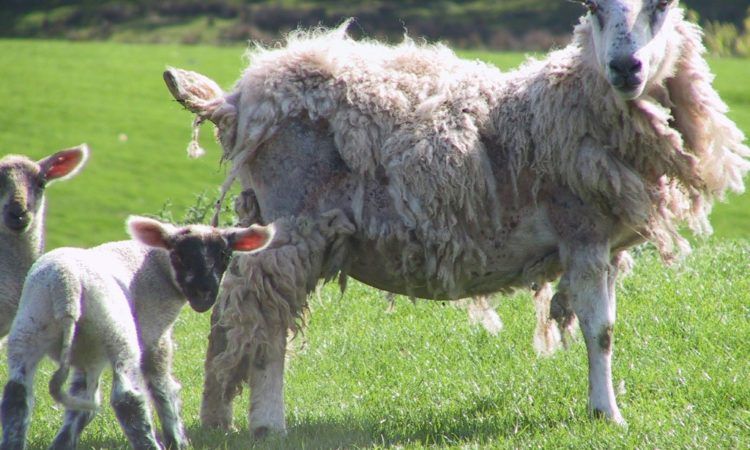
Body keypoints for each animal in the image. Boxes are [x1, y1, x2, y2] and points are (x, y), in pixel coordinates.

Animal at [0, 216, 274, 450]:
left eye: (224, 255)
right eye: (179, 255)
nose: (204, 293)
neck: (155, 264)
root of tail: (66, 288)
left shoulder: (88, 353)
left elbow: (82, 399)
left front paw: (65, 442)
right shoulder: (153, 332)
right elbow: (162, 387)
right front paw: (177, 439)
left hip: (29, 327)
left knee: (17, 395)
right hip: (118, 332)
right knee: (127, 399)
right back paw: (149, 443)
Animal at [163, 0, 750, 435]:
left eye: (661, 6)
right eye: (593, 8)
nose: (626, 68)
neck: (572, 102)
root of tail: (239, 98)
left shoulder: (600, 245)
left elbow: (602, 328)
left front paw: (602, 407)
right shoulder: (581, 233)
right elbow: (599, 330)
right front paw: (607, 415)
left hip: (264, 218)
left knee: (234, 320)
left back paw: (220, 421)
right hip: (292, 225)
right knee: (261, 320)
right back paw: (266, 424)